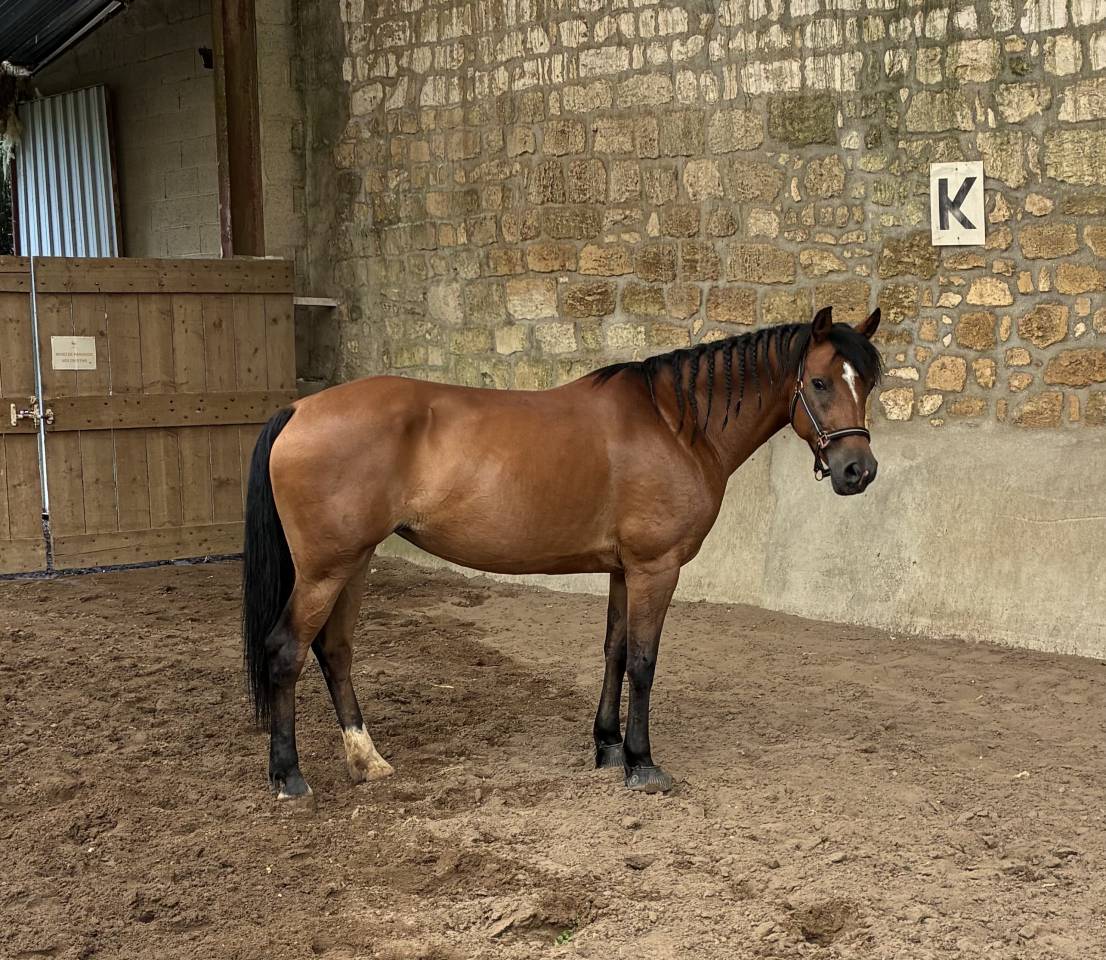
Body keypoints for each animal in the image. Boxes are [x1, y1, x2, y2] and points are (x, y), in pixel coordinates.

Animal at [242, 305, 882, 799]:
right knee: (285, 650)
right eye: (820, 383)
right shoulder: (656, 568)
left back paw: (367, 760)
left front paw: (608, 747)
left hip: (353, 562)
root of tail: (299, 409)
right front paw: (642, 764)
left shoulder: (625, 570)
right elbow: (644, 662)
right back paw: (289, 776)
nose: (859, 471)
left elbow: (615, 652)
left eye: (868, 383)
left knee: (335, 651)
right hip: (326, 569)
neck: (676, 425)